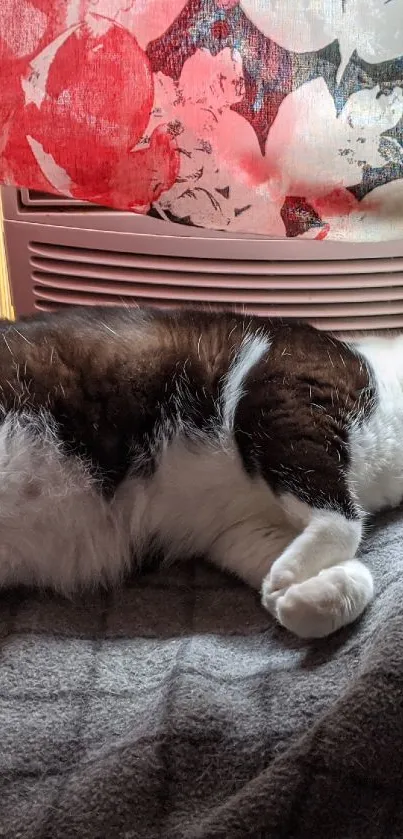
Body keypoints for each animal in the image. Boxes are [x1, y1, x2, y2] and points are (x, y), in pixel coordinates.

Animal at [0, 306, 400, 640]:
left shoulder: (237, 530)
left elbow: (361, 577)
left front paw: (293, 597)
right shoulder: (287, 398)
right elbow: (345, 524)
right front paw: (286, 579)